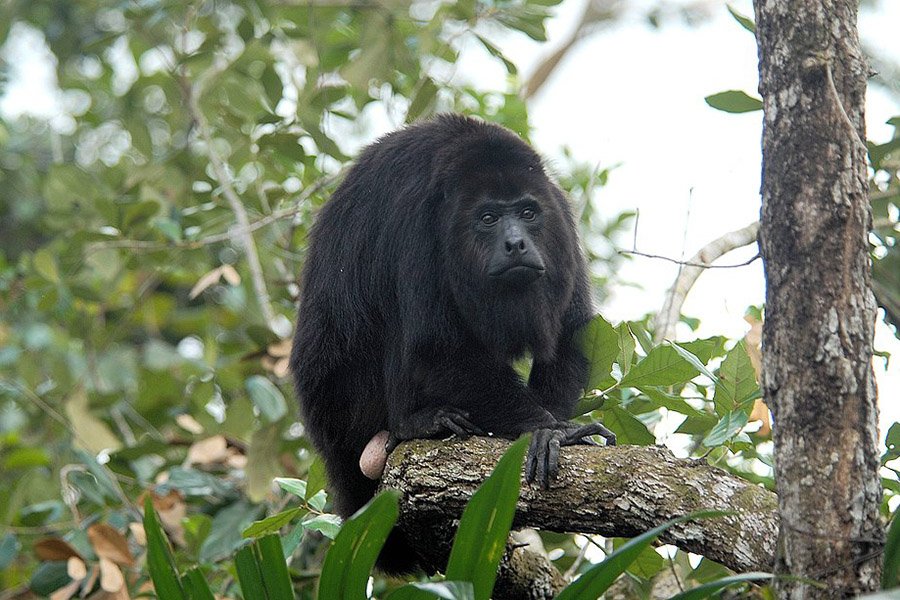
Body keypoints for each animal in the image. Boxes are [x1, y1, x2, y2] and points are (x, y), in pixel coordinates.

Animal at [292, 113, 616, 572]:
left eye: (528, 212)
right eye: (488, 218)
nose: (516, 243)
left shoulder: (559, 213)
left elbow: (573, 331)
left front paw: (549, 428)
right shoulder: (415, 216)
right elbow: (436, 347)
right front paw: (548, 430)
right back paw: (413, 424)